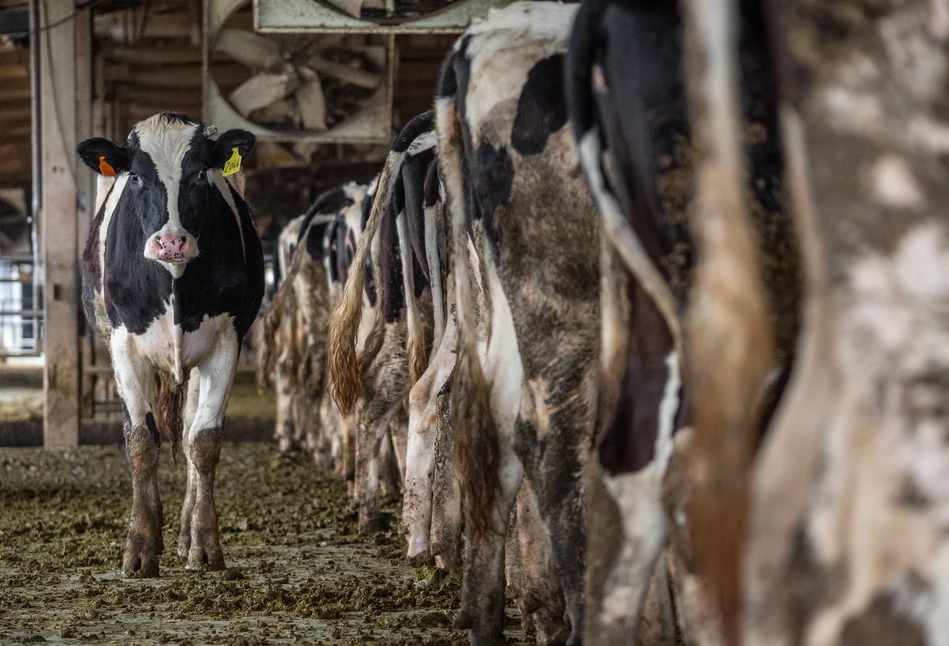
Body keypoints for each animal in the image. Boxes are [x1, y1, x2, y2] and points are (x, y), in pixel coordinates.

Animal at [75, 111, 262, 576]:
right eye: (137, 177)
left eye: (199, 173)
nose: (172, 242)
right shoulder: (124, 345)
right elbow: (141, 442)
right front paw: (140, 547)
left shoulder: (226, 342)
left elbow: (204, 442)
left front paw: (205, 544)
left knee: (191, 426)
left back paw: (182, 532)